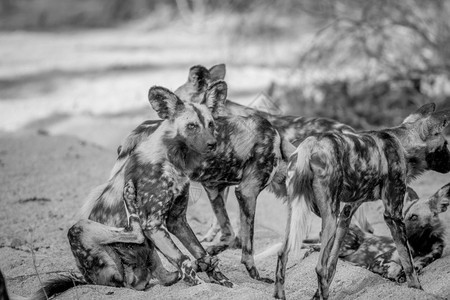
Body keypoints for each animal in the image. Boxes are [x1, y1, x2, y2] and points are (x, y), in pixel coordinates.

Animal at [274, 102, 450, 298]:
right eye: (446, 144)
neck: (403, 144)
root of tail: (310, 143)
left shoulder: (346, 214)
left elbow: (333, 264)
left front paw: (319, 293)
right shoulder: (393, 216)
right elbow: (408, 262)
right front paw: (417, 290)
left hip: (302, 214)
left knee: (283, 254)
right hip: (329, 217)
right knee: (319, 267)